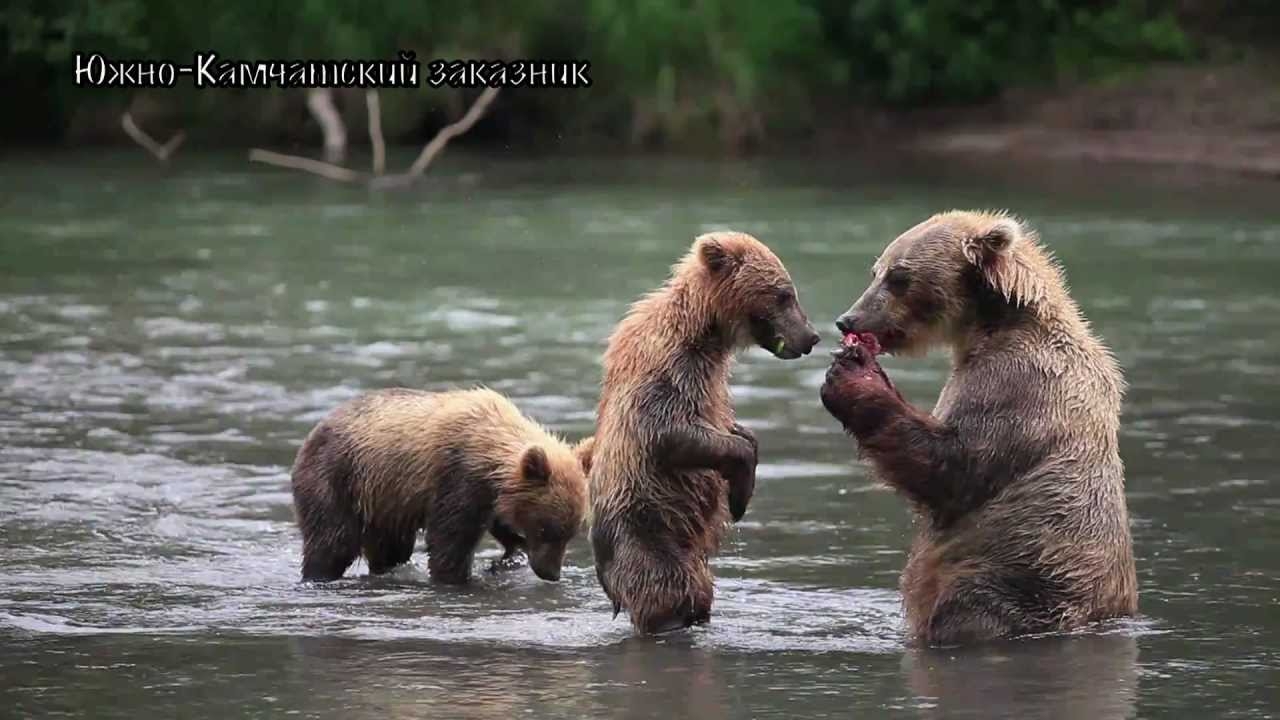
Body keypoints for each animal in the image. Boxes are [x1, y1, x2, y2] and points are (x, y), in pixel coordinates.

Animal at [290, 386, 588, 584]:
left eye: (570, 533)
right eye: (546, 529)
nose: (551, 573)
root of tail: (315, 430)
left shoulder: (489, 495)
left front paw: (510, 553)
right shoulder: (455, 476)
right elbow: (449, 537)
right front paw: (455, 577)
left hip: (384, 503)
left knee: (391, 547)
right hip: (340, 478)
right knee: (333, 539)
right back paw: (318, 574)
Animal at [588, 229, 819, 632]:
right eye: (783, 294)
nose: (811, 336)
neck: (705, 335)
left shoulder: (710, 384)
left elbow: (732, 431)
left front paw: (742, 483)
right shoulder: (666, 373)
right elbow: (670, 433)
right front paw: (739, 497)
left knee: (699, 590)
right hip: (644, 531)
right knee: (664, 589)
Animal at [824, 210, 1136, 640]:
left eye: (899, 276)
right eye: (877, 270)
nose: (847, 319)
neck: (991, 326)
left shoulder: (1018, 383)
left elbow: (955, 468)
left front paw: (856, 376)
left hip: (1022, 581)